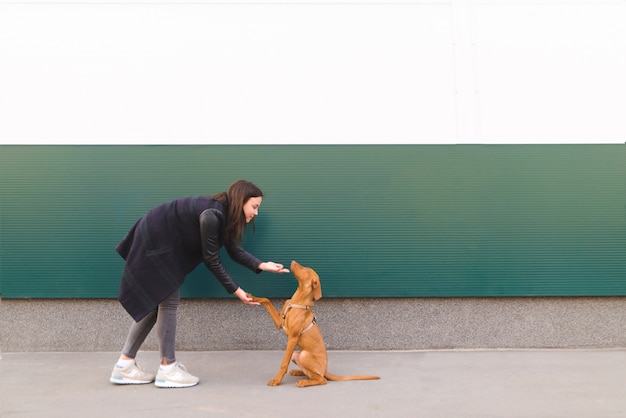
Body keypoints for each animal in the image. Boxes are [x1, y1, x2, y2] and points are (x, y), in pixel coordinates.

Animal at [246, 260, 378, 386]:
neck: (297, 301)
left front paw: (277, 380)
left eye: (306, 270)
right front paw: (252, 297)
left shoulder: (293, 338)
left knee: (321, 379)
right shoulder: (280, 322)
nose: (293, 261)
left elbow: (284, 363)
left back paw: (303, 382)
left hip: (304, 355)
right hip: (296, 355)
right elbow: (266, 300)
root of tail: (325, 370)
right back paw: (298, 372)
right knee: (311, 374)